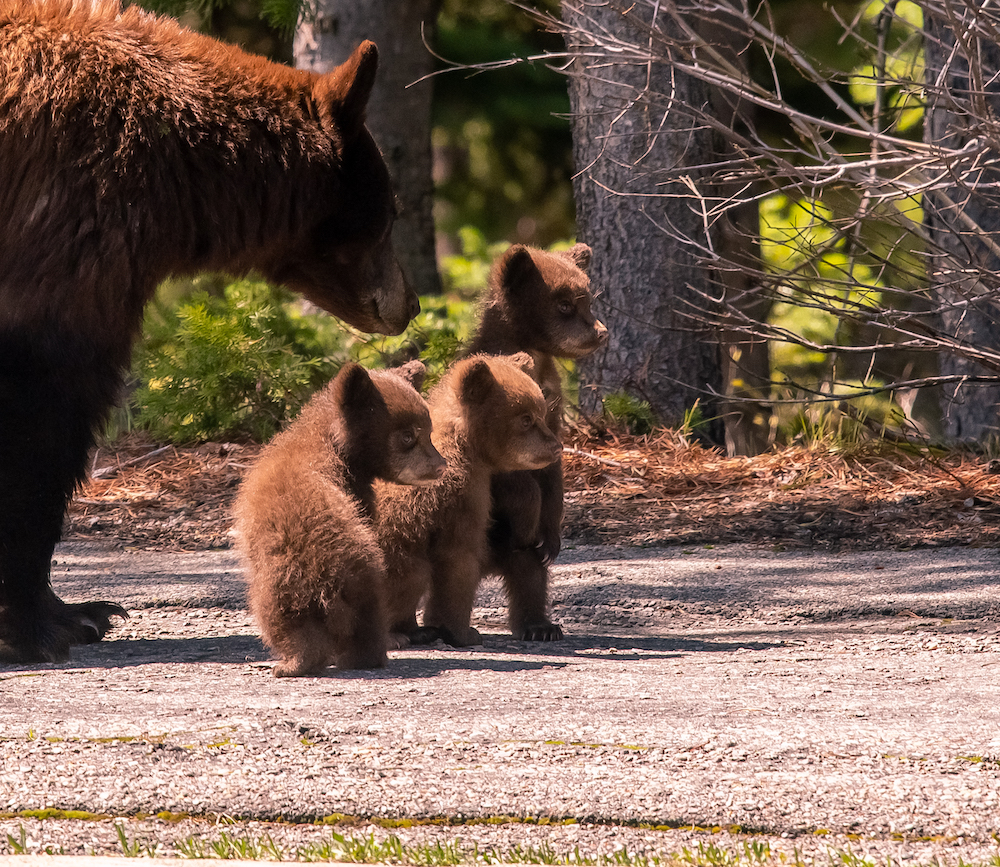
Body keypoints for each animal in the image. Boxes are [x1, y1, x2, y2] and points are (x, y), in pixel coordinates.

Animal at [0, 1, 420, 664]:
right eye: (392, 212)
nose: (410, 303)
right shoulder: (68, 220)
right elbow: (42, 410)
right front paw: (45, 623)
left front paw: (79, 610)